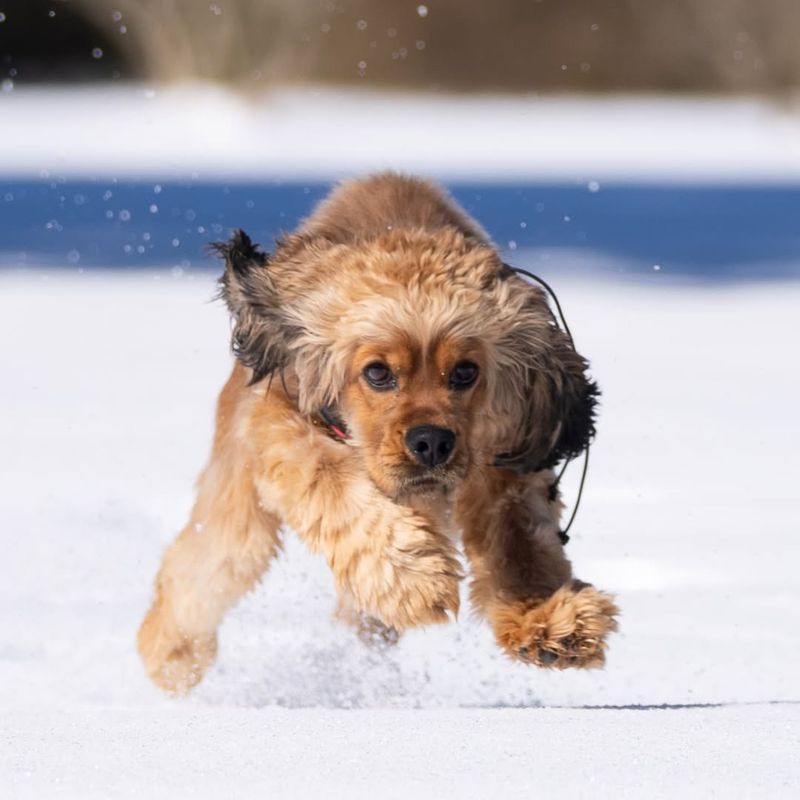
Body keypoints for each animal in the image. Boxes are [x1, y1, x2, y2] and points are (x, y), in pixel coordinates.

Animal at [138, 172, 620, 692]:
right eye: (377, 373)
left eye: (465, 372)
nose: (431, 442)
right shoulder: (286, 427)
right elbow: (333, 486)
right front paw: (414, 577)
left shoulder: (505, 460)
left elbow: (519, 544)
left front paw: (549, 619)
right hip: (238, 505)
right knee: (205, 566)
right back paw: (171, 653)